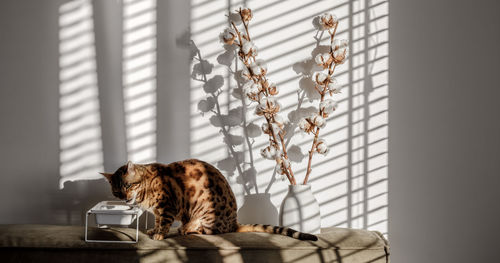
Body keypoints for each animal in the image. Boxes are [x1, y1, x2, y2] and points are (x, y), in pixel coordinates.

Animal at [100, 160, 318, 242]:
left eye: (128, 186)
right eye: (117, 192)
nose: (125, 198)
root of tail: (234, 222)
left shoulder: (168, 205)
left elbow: (164, 222)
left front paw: (159, 234)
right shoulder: (158, 210)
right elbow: (157, 220)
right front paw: (153, 230)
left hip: (205, 212)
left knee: (208, 231)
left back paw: (186, 229)